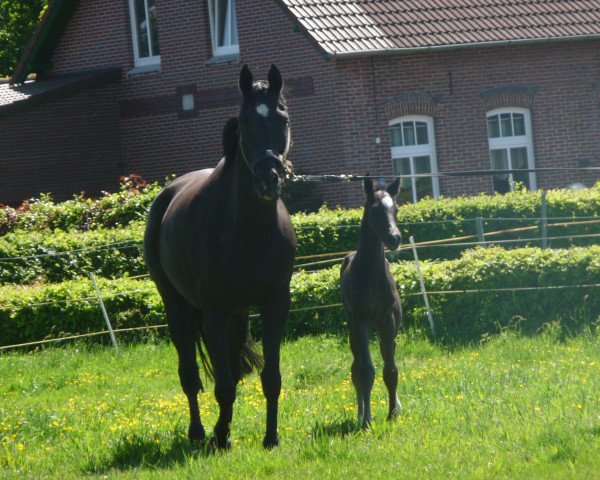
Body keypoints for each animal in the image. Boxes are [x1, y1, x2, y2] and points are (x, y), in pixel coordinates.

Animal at [144, 64, 298, 450]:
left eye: (283, 119)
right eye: (244, 122)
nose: (268, 180)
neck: (247, 229)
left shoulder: (275, 305)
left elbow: (270, 377)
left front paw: (270, 437)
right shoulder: (213, 313)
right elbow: (223, 386)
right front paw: (221, 437)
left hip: (238, 315)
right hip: (177, 307)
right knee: (189, 374)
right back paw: (198, 432)